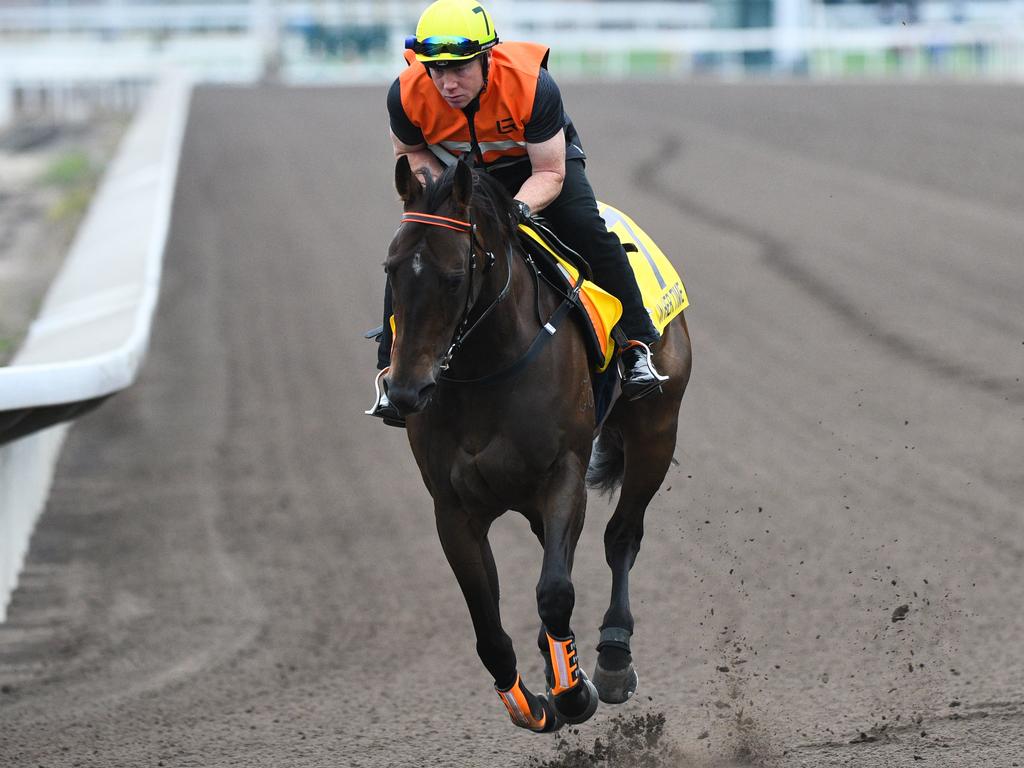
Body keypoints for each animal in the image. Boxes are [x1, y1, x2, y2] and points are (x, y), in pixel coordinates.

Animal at [385, 156, 696, 733]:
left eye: (455, 277)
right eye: (391, 269)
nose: (406, 391)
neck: (486, 369)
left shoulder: (562, 473)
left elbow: (555, 591)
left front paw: (574, 690)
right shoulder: (454, 507)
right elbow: (488, 629)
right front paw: (531, 705)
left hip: (656, 430)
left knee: (622, 535)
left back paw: (612, 656)